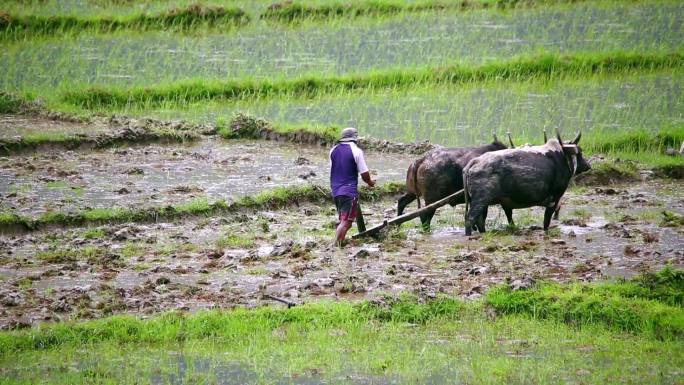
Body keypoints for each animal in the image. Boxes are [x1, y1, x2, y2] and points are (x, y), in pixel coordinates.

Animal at [462, 131, 592, 234]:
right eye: (579, 152)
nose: (588, 165)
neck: (561, 157)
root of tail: (475, 161)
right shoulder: (554, 198)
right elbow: (546, 221)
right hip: (480, 200)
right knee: (469, 219)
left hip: (482, 203)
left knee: (480, 221)